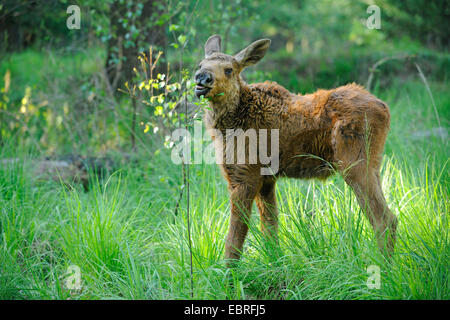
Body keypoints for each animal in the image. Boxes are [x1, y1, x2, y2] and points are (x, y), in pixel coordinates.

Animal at [193, 35, 398, 264]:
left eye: (229, 69)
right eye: (200, 64)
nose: (202, 77)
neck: (227, 127)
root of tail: (384, 108)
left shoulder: (245, 176)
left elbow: (234, 241)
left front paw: (228, 274)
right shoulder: (267, 179)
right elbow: (270, 230)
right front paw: (275, 265)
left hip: (354, 163)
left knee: (384, 219)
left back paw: (384, 268)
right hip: (373, 164)